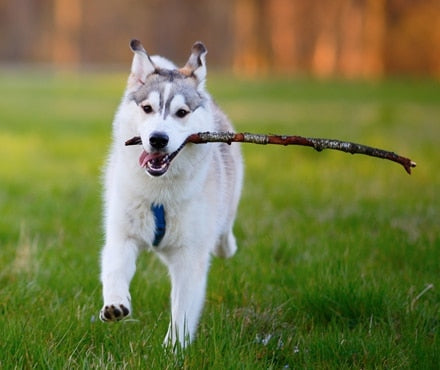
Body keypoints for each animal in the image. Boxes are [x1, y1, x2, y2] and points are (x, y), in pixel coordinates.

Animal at [99, 40, 244, 346]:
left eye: (182, 112)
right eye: (147, 108)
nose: (158, 139)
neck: (160, 193)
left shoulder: (190, 256)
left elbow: (182, 312)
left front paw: (174, 348)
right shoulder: (122, 235)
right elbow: (115, 270)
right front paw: (115, 304)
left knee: (225, 231)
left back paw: (225, 246)